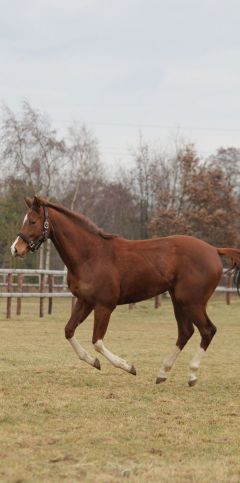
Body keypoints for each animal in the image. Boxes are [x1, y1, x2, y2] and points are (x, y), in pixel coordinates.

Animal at [10, 195, 240, 388]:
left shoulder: (104, 306)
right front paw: (94, 362)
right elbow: (69, 331)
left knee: (207, 331)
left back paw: (191, 375)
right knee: (186, 332)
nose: (16, 249)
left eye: (32, 221)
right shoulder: (85, 302)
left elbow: (97, 341)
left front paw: (128, 367)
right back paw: (162, 373)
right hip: (179, 301)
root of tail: (214, 250)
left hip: (192, 302)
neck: (90, 255)